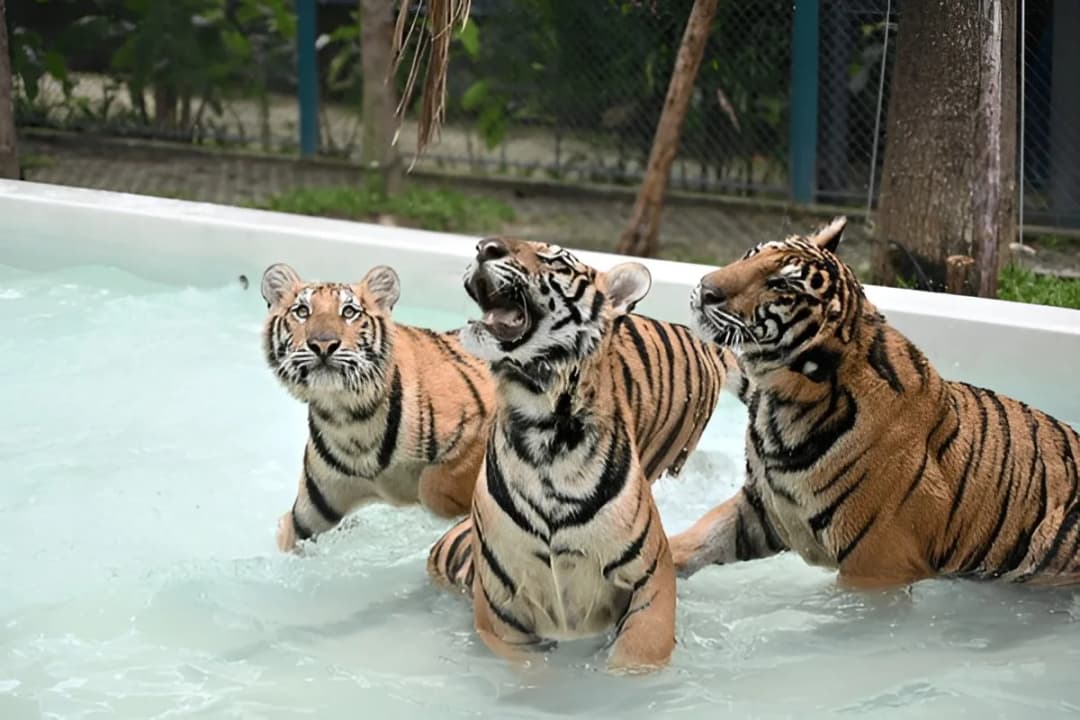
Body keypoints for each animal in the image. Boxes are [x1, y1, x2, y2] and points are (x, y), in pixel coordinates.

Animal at [260, 262, 494, 551]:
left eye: (349, 312)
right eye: (302, 311)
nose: (323, 343)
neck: (347, 419)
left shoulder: (480, 430)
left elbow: (433, 486)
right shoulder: (308, 515)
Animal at [426, 237, 736, 673]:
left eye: (556, 261)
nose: (485, 246)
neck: (543, 427)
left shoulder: (650, 579)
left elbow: (638, 656)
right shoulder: (502, 609)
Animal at [669, 216, 1080, 589]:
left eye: (780, 284)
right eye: (752, 254)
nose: (706, 289)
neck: (782, 401)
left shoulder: (877, 561)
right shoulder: (763, 510)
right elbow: (696, 541)